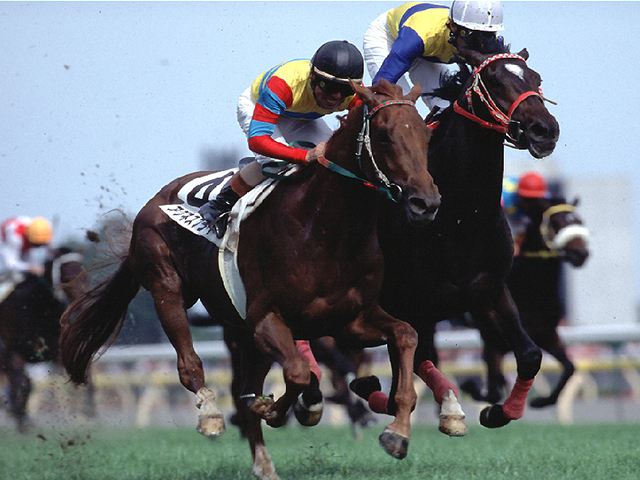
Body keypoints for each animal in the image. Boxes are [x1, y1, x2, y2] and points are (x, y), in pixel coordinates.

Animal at [0, 246, 88, 431]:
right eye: (66, 277)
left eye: (85, 275)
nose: (83, 304)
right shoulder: (14, 354)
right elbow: (22, 385)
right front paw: (22, 421)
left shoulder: (58, 351)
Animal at [59, 80, 441, 480]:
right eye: (383, 135)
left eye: (426, 135)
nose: (425, 203)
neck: (323, 228)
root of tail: (152, 203)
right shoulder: (266, 318)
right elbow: (297, 373)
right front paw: (276, 408)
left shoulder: (349, 320)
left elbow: (406, 335)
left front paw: (397, 430)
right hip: (166, 284)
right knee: (190, 364)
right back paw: (211, 413)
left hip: (242, 332)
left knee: (244, 387)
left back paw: (263, 462)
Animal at [352, 46, 560, 431]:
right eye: (494, 80)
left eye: (536, 78)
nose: (545, 130)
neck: (462, 219)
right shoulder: (406, 303)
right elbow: (409, 365)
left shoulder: (490, 290)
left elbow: (529, 355)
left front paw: (497, 411)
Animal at [460, 196, 589, 408]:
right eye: (555, 223)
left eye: (579, 221)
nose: (581, 254)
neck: (531, 292)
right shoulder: (492, 340)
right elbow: (493, 392)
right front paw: (469, 386)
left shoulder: (546, 334)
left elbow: (570, 367)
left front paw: (542, 401)